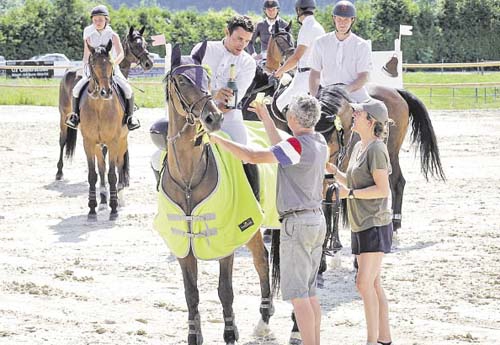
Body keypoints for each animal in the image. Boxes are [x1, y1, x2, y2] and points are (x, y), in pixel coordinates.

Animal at [56, 26, 152, 207]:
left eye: (144, 44)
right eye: (135, 45)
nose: (149, 63)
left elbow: (107, 162)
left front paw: (110, 191)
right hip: (63, 116)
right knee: (62, 140)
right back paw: (59, 172)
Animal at [156, 42, 276, 344]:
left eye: (206, 79)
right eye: (182, 80)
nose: (213, 117)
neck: (188, 177)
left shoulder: (228, 237)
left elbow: (225, 290)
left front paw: (230, 332)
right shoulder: (183, 245)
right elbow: (191, 293)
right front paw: (193, 335)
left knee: (262, 261)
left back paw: (265, 319)